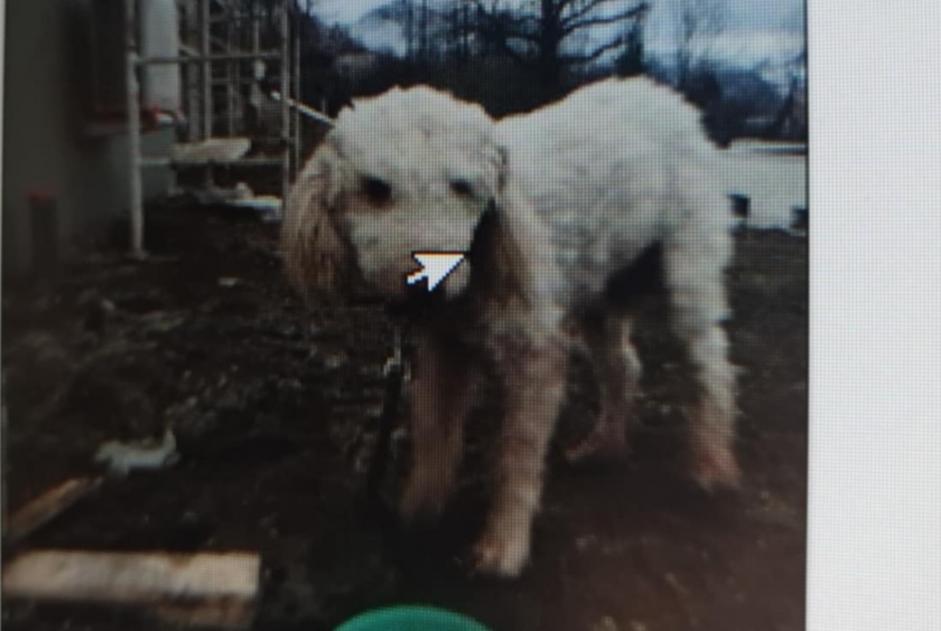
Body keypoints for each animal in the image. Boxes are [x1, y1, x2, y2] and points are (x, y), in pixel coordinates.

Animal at [282, 78, 740, 576]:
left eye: (462, 187)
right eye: (375, 188)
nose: (427, 289)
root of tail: (663, 95)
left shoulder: (535, 357)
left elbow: (517, 454)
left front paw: (503, 547)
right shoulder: (445, 350)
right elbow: (434, 432)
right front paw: (418, 512)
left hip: (688, 276)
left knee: (712, 367)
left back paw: (712, 464)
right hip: (600, 293)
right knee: (624, 366)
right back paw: (603, 446)